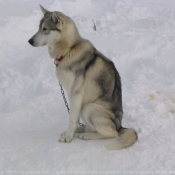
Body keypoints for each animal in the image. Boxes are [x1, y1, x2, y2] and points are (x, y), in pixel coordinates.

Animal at [28, 5, 138, 150]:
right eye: (39, 28)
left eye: (45, 29)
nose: (29, 41)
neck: (68, 50)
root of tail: (120, 126)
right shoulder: (71, 95)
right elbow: (74, 117)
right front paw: (71, 132)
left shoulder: (76, 93)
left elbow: (72, 119)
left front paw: (68, 137)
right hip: (84, 107)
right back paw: (82, 129)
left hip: (89, 108)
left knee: (111, 133)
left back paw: (87, 135)